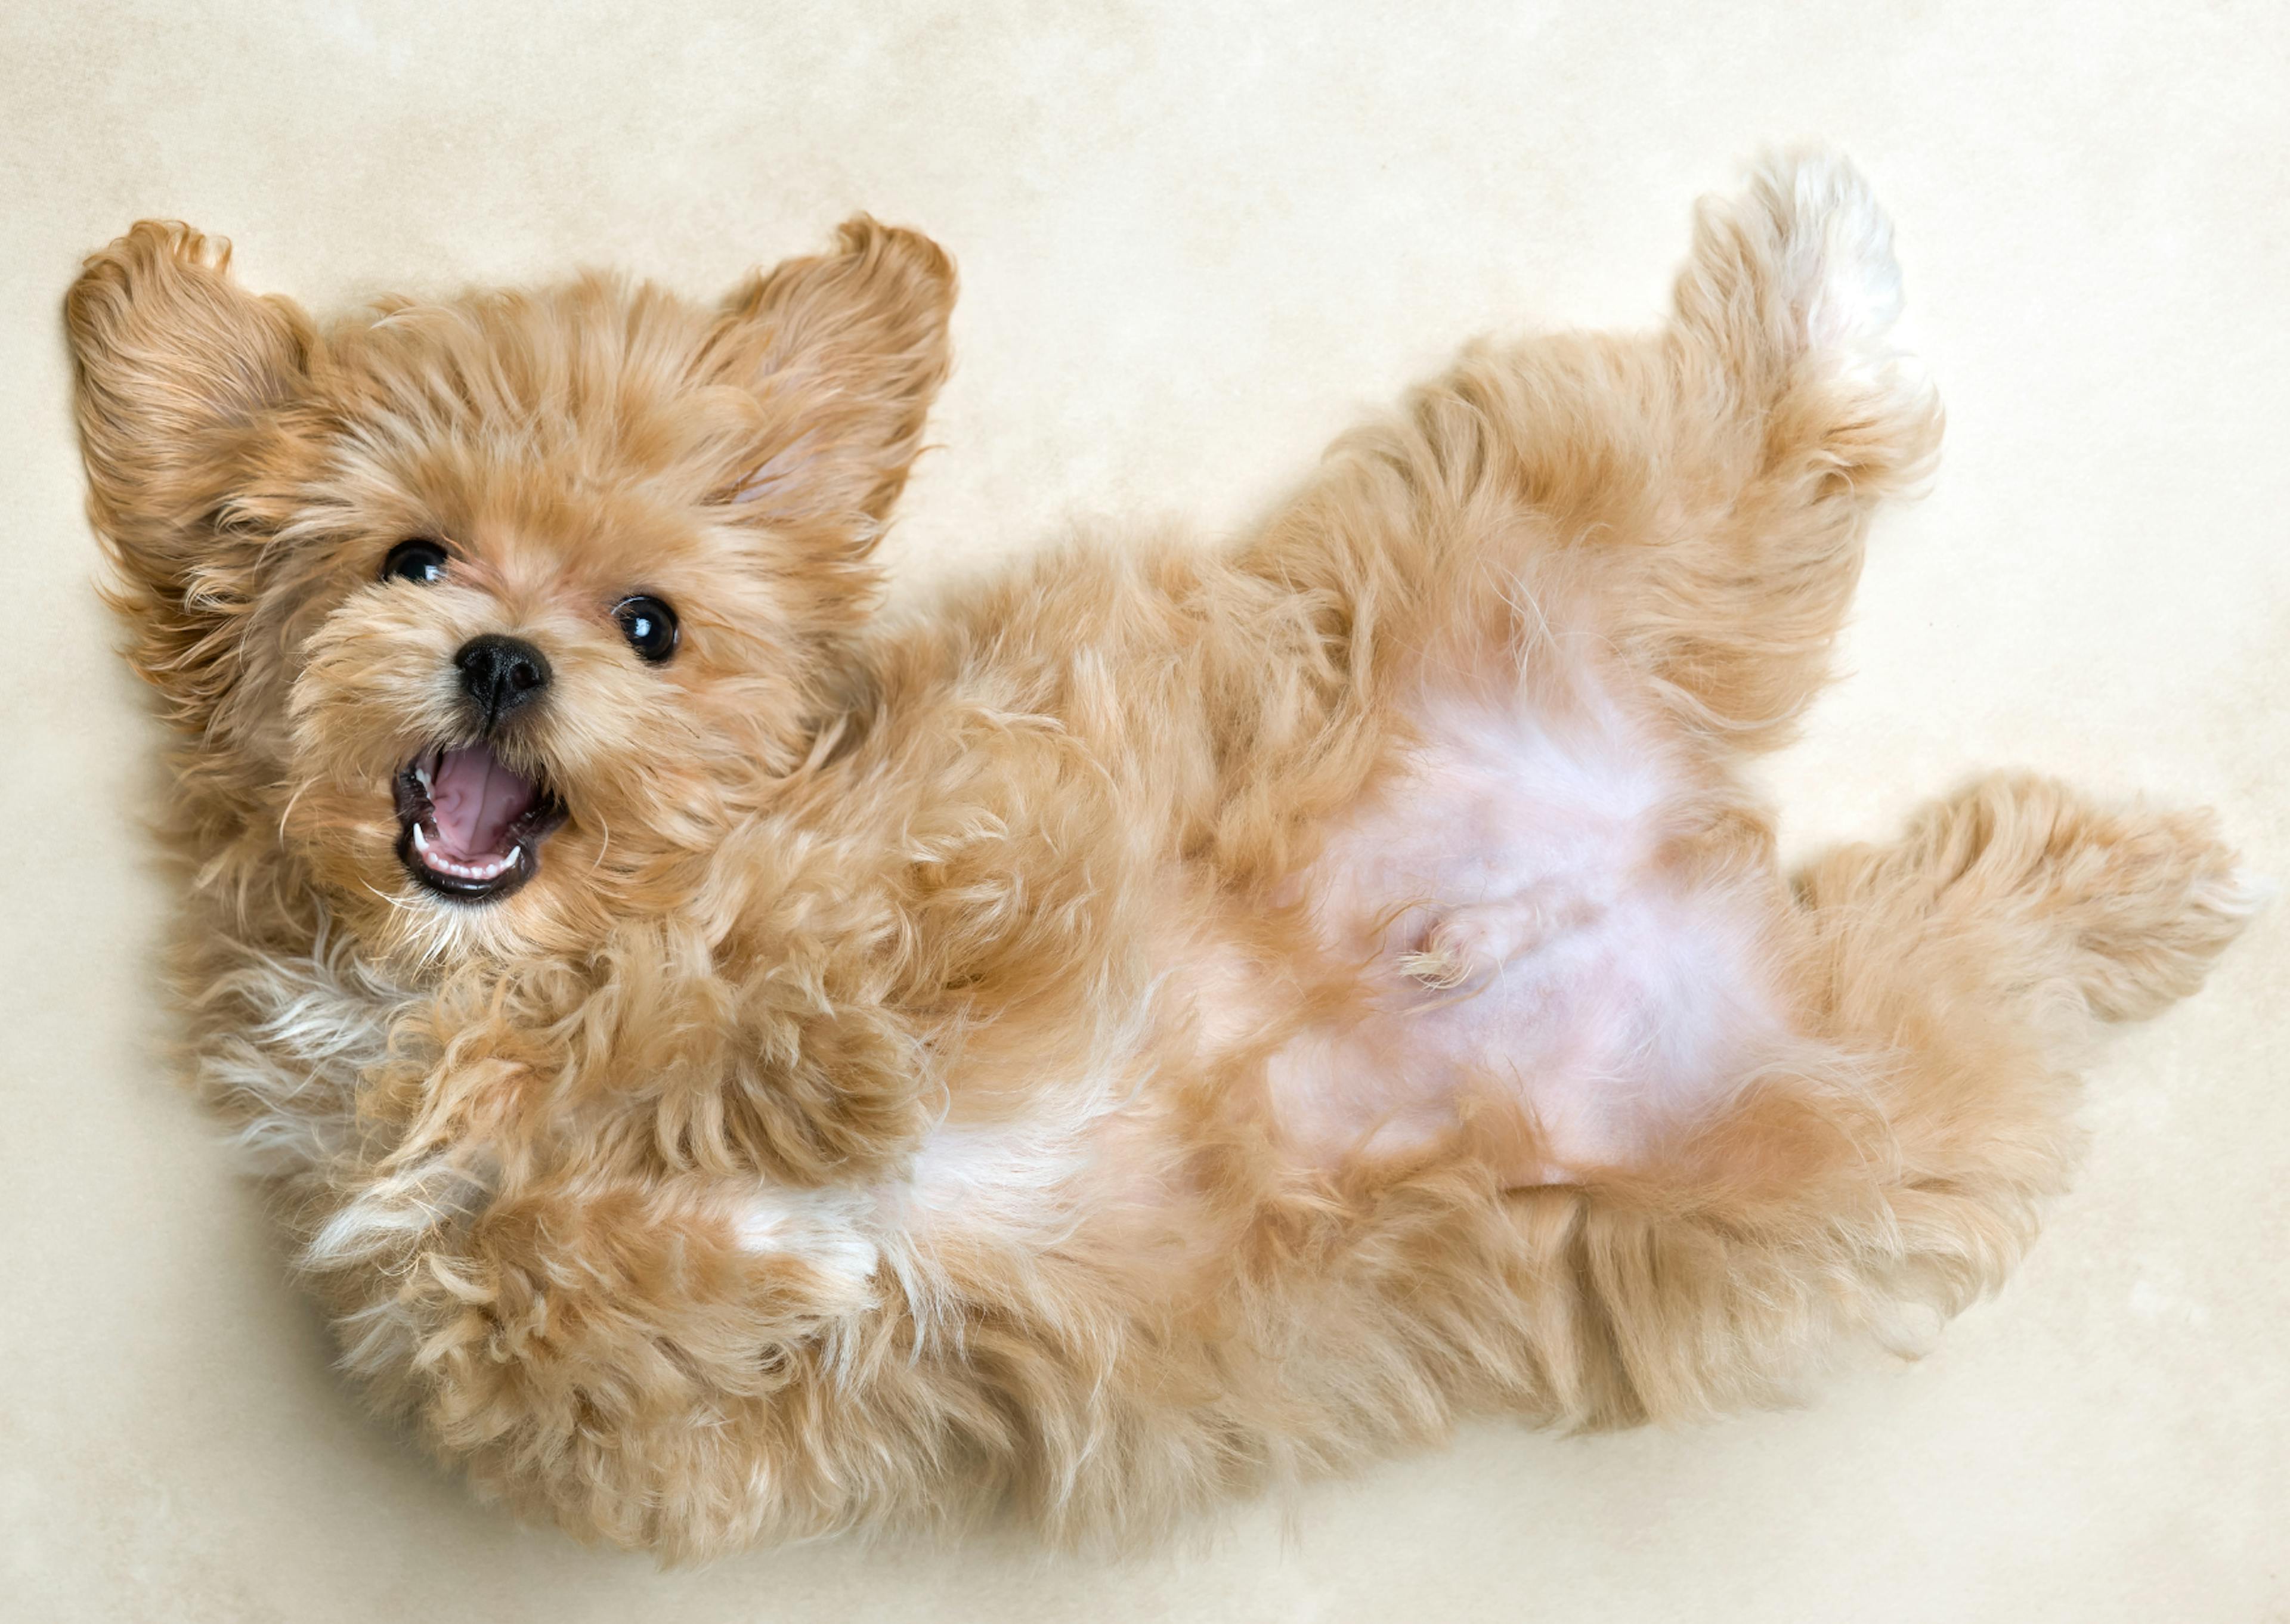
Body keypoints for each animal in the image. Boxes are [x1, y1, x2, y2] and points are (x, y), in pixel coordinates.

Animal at [67, 156, 2253, 1557]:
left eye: (651, 626)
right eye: (411, 559)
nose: (506, 656)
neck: (494, 981)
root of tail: (1672, 839)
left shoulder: (960, 813)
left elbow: (814, 977)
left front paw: (793, 1106)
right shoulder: (587, 1407)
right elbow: (544, 1274)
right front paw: (743, 1227)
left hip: (1520, 563)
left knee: (1759, 447)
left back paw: (1825, 284)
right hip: (1816, 1144)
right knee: (1971, 926)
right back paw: (2149, 885)